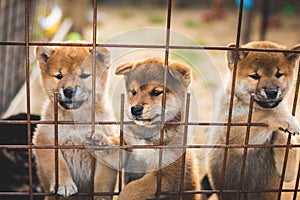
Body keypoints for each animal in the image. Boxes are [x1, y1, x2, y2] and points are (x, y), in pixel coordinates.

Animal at [32, 45, 116, 200]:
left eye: (83, 75)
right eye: (59, 76)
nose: (69, 91)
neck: (76, 120)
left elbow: (103, 180)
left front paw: (100, 196)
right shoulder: (45, 140)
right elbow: (58, 164)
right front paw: (64, 184)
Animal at [205, 41, 300, 199]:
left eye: (279, 74)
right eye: (255, 76)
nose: (272, 92)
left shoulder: (288, 174)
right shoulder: (231, 131)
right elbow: (266, 114)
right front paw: (288, 120)